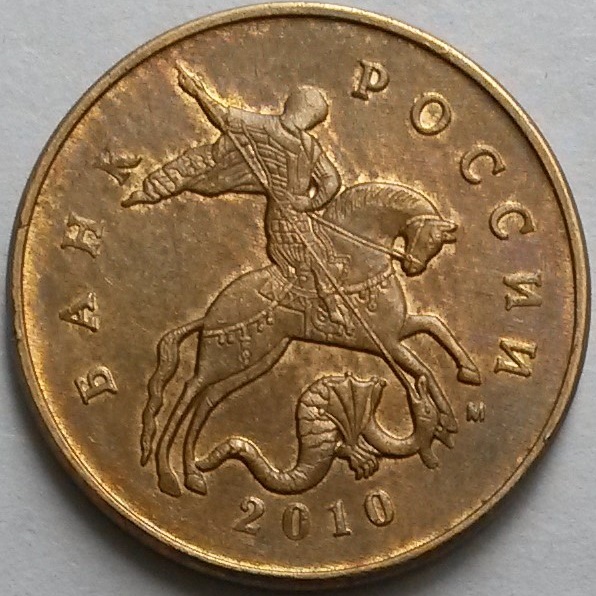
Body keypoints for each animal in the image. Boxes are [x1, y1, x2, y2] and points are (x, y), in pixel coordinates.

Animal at [141, 181, 481, 497]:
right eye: (433, 238)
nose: (414, 267)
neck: (360, 261)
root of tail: (210, 314)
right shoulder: (386, 341)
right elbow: (424, 367)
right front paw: (447, 418)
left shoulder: (397, 330)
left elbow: (435, 326)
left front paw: (468, 373)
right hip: (222, 358)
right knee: (188, 391)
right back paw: (168, 475)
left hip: (258, 359)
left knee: (207, 401)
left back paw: (193, 474)